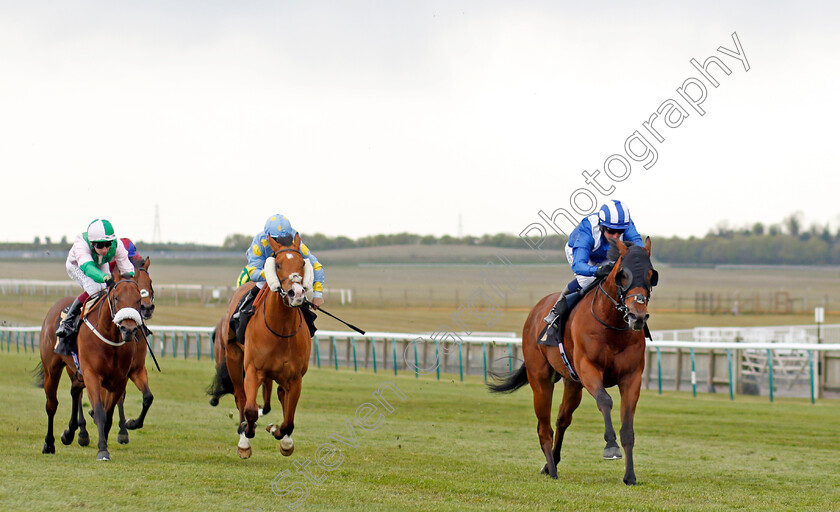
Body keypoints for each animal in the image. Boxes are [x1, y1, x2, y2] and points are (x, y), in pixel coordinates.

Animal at [41, 272, 144, 460]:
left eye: (139, 299)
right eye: (116, 298)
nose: (128, 329)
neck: (110, 337)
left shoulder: (119, 380)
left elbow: (108, 414)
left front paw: (104, 442)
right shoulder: (92, 375)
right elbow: (99, 412)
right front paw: (103, 450)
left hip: (76, 371)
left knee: (75, 391)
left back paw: (70, 433)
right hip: (51, 369)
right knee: (51, 405)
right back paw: (49, 444)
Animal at [213, 234, 312, 458]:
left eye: (302, 263)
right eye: (278, 264)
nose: (296, 293)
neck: (281, 330)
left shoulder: (295, 378)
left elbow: (289, 420)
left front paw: (281, 436)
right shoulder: (252, 370)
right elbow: (249, 409)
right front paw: (246, 436)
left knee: (280, 395)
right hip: (233, 359)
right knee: (240, 398)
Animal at [488, 238, 660, 486]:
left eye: (650, 275)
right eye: (623, 274)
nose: (637, 316)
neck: (612, 326)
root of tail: (536, 310)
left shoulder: (631, 377)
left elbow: (628, 426)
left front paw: (630, 476)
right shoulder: (589, 369)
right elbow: (605, 400)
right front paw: (611, 447)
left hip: (573, 384)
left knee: (562, 419)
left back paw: (550, 463)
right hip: (540, 380)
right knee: (544, 427)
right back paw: (551, 469)